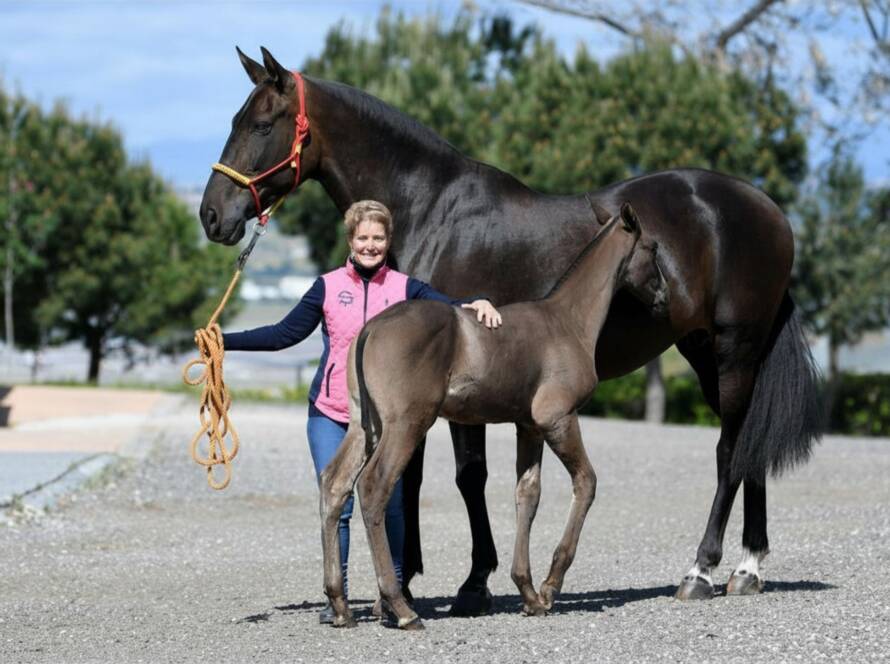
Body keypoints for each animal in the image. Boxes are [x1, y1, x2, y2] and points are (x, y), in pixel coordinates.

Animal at [319, 204, 668, 629]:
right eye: (652, 248)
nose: (665, 297)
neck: (567, 321)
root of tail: (370, 327)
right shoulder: (559, 419)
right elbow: (586, 483)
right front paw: (550, 586)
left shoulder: (529, 427)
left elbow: (527, 494)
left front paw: (529, 593)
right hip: (406, 425)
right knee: (373, 487)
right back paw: (400, 607)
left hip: (364, 426)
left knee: (334, 483)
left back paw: (340, 604)